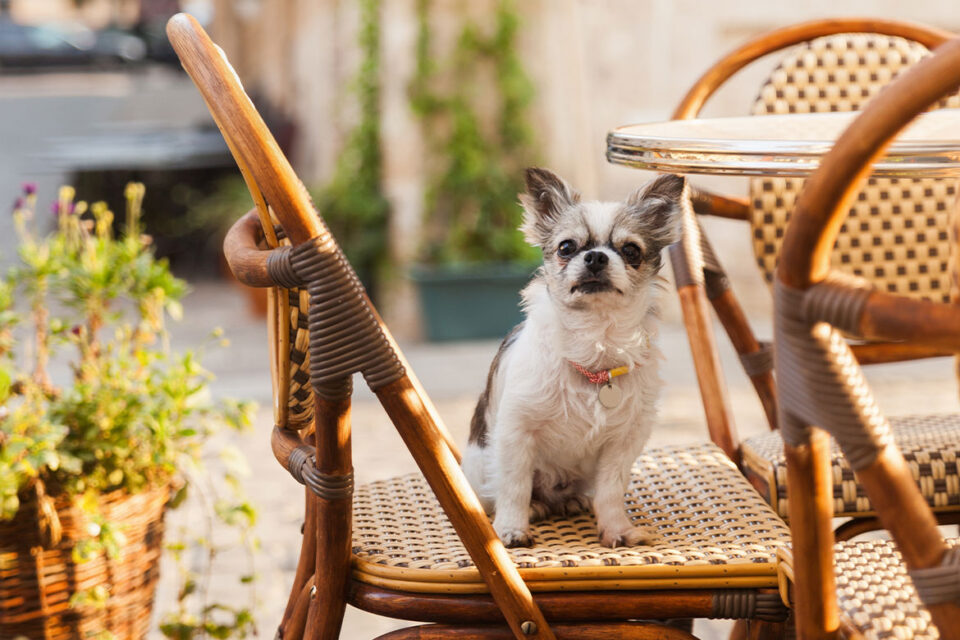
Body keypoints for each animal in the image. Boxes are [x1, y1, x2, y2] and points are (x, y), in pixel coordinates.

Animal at [464, 168, 684, 548]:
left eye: (631, 251)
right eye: (566, 247)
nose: (595, 257)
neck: (595, 345)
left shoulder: (623, 442)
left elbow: (610, 492)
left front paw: (617, 530)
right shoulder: (516, 433)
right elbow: (515, 486)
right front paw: (511, 529)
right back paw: (536, 507)